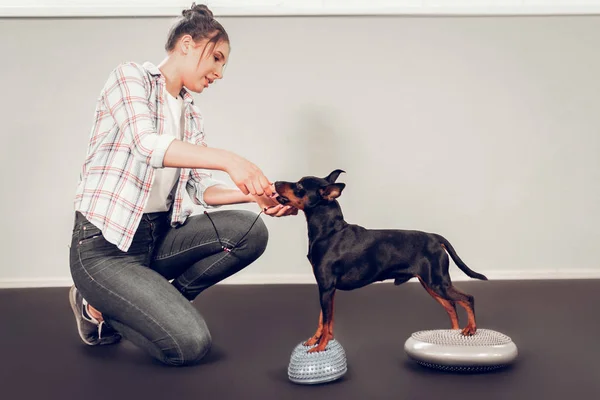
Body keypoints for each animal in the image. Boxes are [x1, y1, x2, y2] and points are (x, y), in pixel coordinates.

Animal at [274, 169, 490, 354]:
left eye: (299, 186)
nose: (275, 183)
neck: (329, 231)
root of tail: (435, 238)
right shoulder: (327, 289)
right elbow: (324, 320)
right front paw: (315, 340)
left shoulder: (326, 287)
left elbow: (326, 320)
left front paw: (320, 347)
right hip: (430, 284)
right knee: (451, 306)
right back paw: (453, 332)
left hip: (437, 283)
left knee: (467, 298)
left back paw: (471, 329)